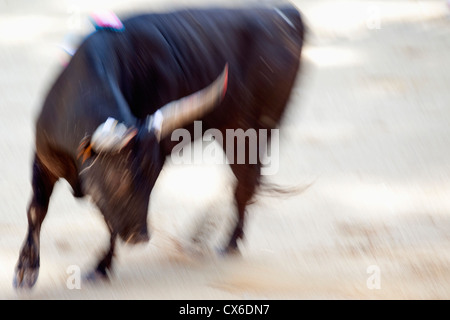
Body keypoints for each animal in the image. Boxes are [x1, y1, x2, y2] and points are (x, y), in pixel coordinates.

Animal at [14, 3, 306, 288]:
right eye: (116, 176)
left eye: (152, 175)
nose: (139, 236)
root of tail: (286, 13)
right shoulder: (43, 160)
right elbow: (36, 210)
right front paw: (26, 270)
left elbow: (109, 222)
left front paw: (100, 268)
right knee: (246, 183)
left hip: (247, 134)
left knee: (245, 185)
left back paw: (226, 244)